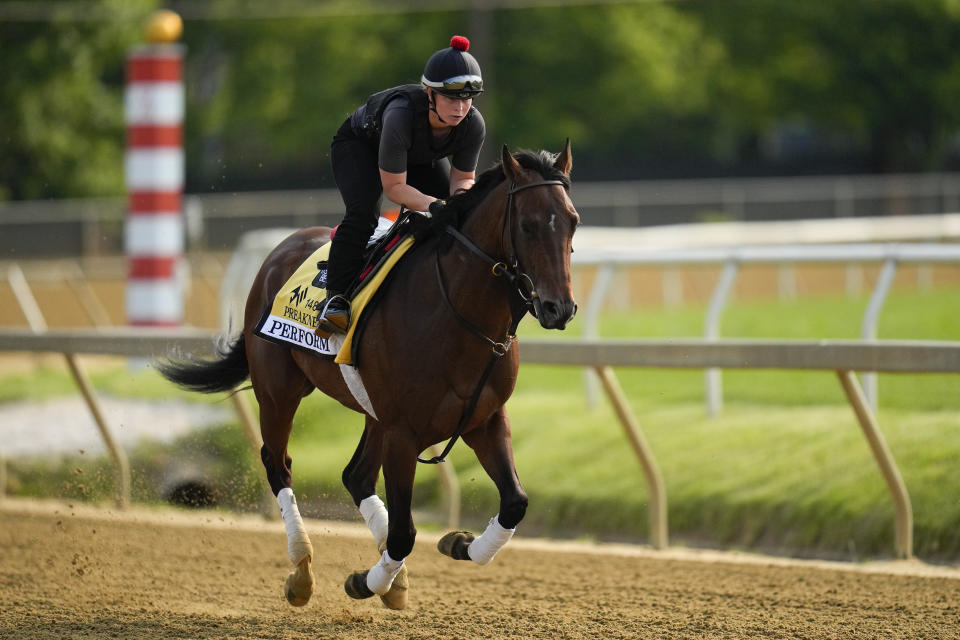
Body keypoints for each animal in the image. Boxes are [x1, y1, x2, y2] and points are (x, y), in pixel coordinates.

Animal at [158, 142, 576, 608]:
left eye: (573, 222)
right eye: (528, 224)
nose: (559, 308)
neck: (459, 315)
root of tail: (283, 247)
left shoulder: (483, 419)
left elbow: (515, 503)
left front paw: (458, 543)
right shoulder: (403, 431)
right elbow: (404, 533)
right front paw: (366, 581)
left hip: (372, 412)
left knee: (355, 475)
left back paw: (392, 578)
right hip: (278, 392)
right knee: (278, 464)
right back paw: (302, 571)